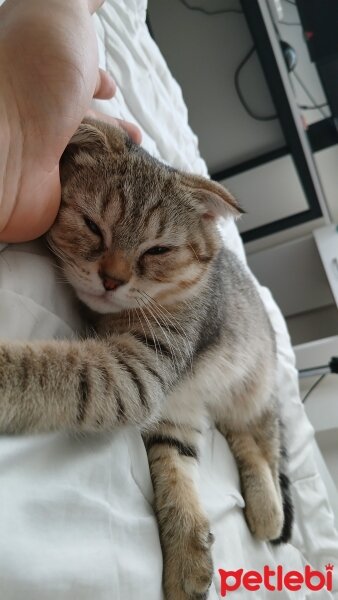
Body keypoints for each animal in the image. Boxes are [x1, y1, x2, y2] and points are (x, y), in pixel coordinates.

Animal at [0, 118, 292, 600]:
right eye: (92, 226)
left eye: (158, 250)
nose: (111, 279)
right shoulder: (161, 404)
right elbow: (172, 468)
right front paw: (187, 552)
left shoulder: (138, 372)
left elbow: (58, 371)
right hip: (192, 408)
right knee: (233, 440)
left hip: (255, 388)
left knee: (263, 441)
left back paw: (270, 511)